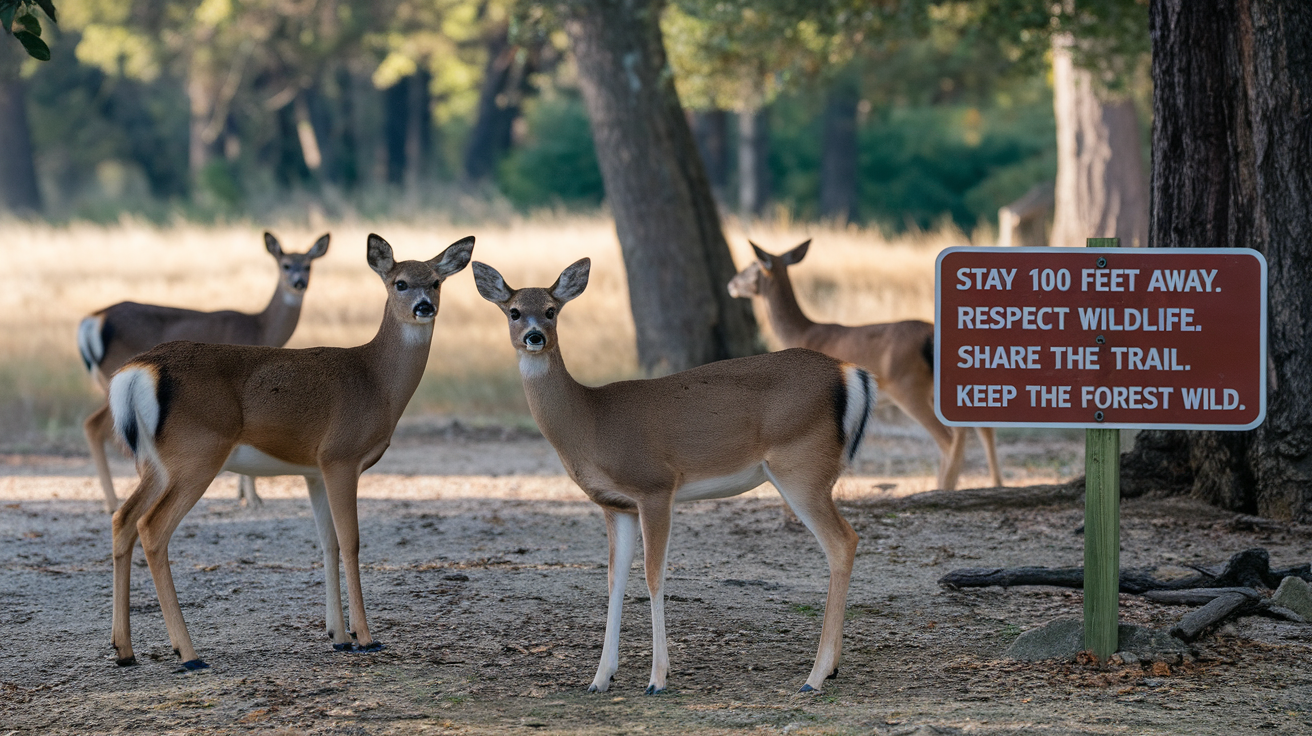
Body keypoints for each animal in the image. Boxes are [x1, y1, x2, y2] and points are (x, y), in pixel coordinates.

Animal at [77, 230, 330, 511]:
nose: (299, 283)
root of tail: (92, 320)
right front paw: (253, 498)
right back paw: (113, 501)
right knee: (94, 425)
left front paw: (243, 494)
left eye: (308, 265)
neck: (261, 328)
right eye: (285, 265)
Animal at [107, 232, 474, 669]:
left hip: (155, 462)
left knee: (123, 518)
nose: (424, 307)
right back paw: (189, 654)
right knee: (152, 527)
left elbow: (328, 541)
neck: (377, 383)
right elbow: (351, 541)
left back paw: (124, 649)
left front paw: (338, 636)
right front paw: (366, 637)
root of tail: (137, 371)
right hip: (196, 454)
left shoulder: (314, 469)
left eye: (436, 281)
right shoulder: (341, 456)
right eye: (399, 282)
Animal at [472, 255, 871, 692]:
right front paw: (600, 678)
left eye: (550, 310)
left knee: (843, 541)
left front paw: (657, 678)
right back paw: (830, 668)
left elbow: (654, 576)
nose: (534, 337)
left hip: (801, 466)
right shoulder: (616, 505)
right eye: (513, 311)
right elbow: (614, 580)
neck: (591, 422)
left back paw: (814, 676)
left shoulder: (655, 487)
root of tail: (851, 373)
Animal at [729, 241, 1002, 490]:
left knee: (949, 437)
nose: (731, 284)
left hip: (910, 387)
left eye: (751, 266)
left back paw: (944, 487)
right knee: (980, 428)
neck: (802, 332)